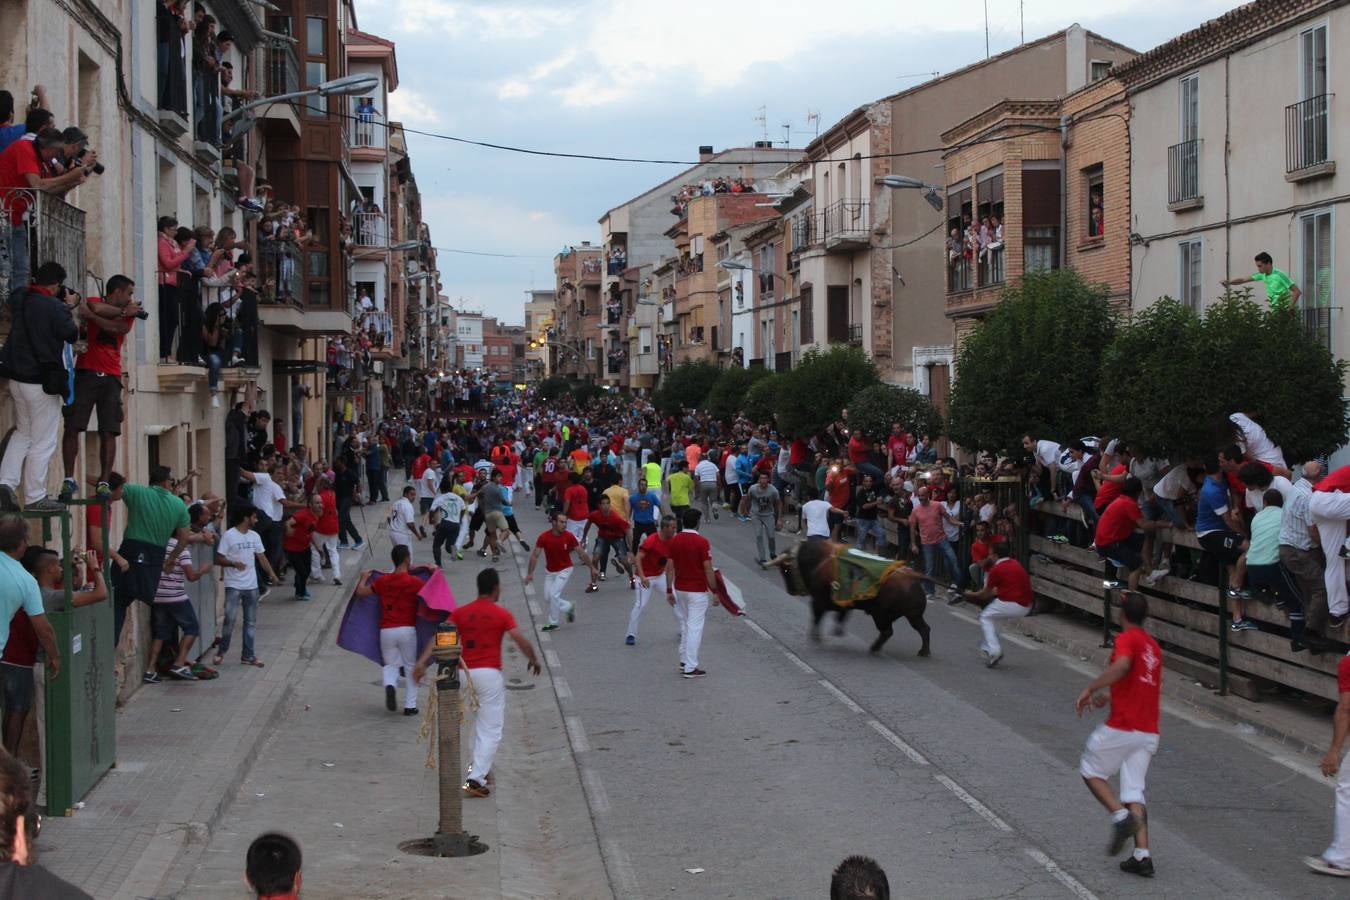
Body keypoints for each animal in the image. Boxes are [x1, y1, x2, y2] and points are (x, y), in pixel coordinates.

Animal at [777, 539, 934, 658]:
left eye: (785, 569)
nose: (790, 591)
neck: (820, 560)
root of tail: (913, 577)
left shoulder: (819, 602)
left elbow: (817, 617)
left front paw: (816, 637)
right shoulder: (841, 603)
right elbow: (838, 617)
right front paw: (836, 631)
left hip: (882, 616)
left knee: (888, 632)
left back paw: (874, 648)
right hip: (913, 616)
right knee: (924, 629)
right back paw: (923, 652)